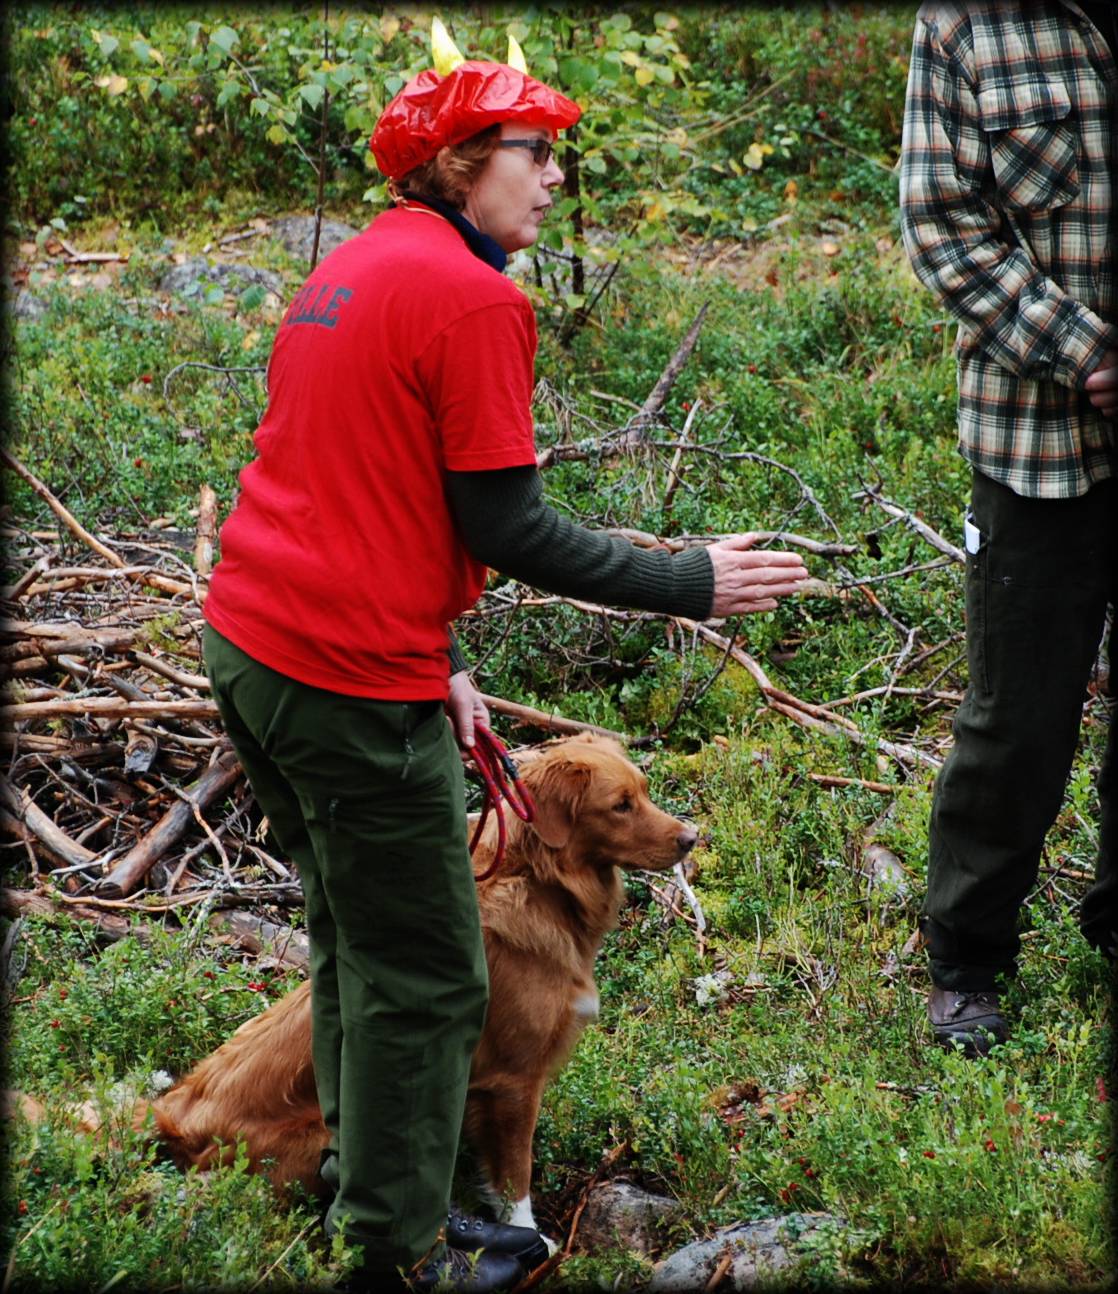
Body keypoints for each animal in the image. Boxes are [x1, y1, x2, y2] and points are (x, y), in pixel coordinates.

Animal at [10, 734, 698, 1237]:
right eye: (620, 805)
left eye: (642, 793)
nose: (695, 838)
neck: (539, 881)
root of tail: (175, 1108)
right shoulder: (512, 1081)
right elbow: (516, 1179)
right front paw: (531, 1241)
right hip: (319, 1135)